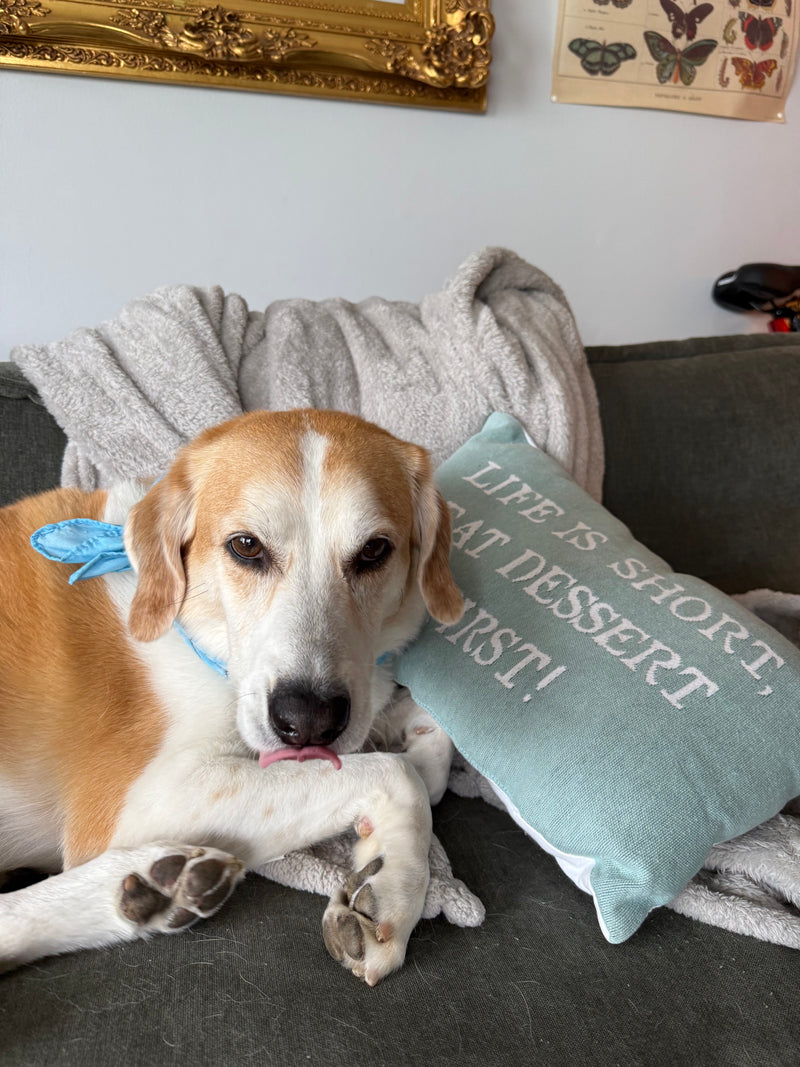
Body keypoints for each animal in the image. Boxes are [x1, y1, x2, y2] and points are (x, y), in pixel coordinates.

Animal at [0, 408, 463, 985]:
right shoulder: (142, 802)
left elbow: (432, 747)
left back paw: (151, 890)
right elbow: (399, 775)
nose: (308, 721)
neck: (195, 632)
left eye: (374, 551)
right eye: (246, 547)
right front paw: (397, 892)